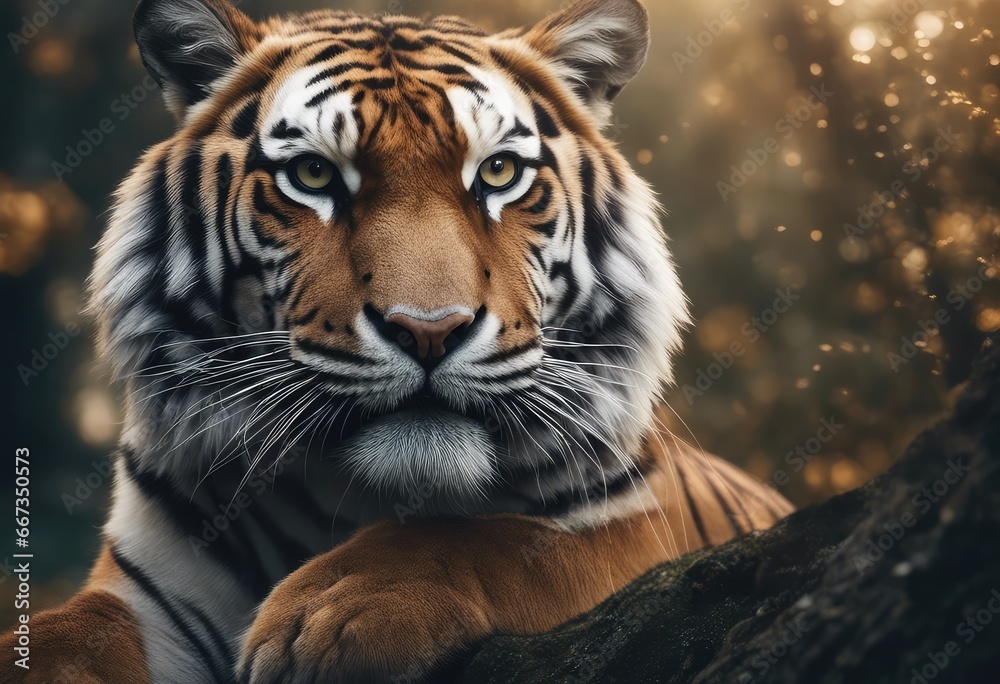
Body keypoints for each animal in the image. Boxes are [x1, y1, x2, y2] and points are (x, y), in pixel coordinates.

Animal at [2, 0, 794, 681]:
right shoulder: (147, 596)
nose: (429, 329)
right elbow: (62, 637)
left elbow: (504, 538)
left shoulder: (646, 525)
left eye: (498, 171)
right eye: (313, 173)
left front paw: (326, 616)